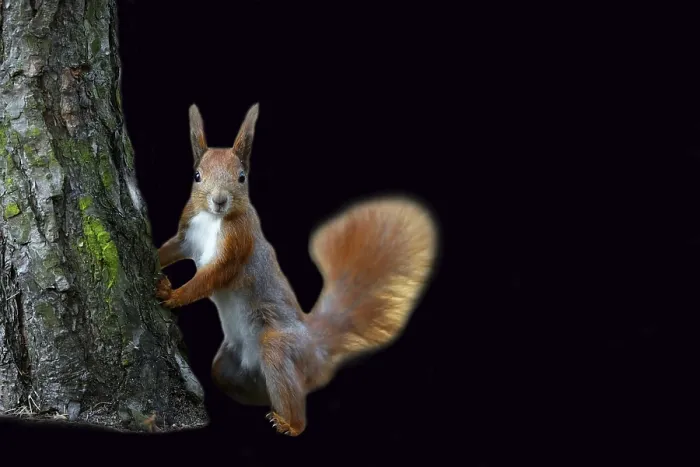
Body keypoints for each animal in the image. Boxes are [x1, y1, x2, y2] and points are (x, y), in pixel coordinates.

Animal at [155, 103, 438, 436]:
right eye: (197, 175)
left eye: (242, 177)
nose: (219, 200)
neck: (213, 221)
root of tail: (315, 348)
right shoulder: (187, 236)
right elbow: (171, 249)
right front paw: (156, 260)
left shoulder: (237, 246)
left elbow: (209, 278)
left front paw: (173, 294)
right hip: (227, 368)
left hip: (279, 346)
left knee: (296, 398)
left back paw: (289, 423)